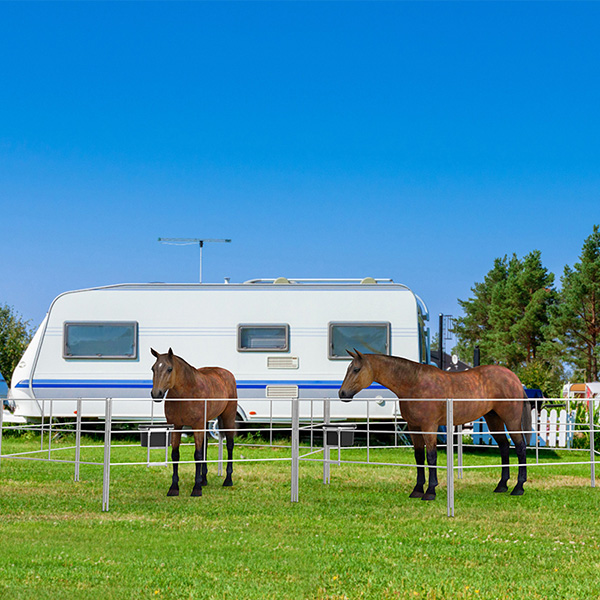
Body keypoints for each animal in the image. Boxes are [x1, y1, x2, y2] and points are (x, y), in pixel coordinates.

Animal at [149, 346, 238, 496]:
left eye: (169, 369)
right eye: (153, 368)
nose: (156, 394)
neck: (185, 395)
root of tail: (227, 374)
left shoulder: (196, 426)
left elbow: (198, 454)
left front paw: (196, 489)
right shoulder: (176, 426)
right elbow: (175, 454)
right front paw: (174, 488)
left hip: (228, 418)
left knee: (230, 445)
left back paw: (228, 480)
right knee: (205, 446)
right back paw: (204, 480)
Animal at [340, 352, 532, 502]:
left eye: (356, 369)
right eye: (348, 368)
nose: (342, 393)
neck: (414, 384)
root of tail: (514, 378)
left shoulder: (429, 426)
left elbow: (431, 457)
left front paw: (430, 492)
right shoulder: (414, 427)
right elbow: (419, 457)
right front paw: (417, 490)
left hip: (511, 420)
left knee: (520, 447)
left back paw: (518, 488)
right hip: (493, 419)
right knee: (504, 447)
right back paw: (502, 486)